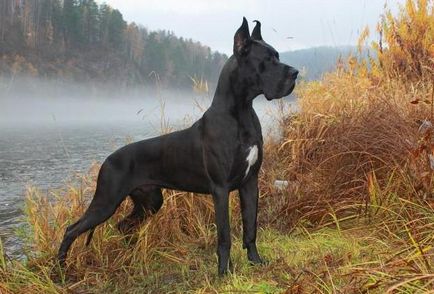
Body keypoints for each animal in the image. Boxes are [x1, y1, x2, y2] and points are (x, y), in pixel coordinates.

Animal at [58, 17, 298, 276]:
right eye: (267, 60)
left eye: (277, 55)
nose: (295, 73)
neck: (241, 111)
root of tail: (107, 159)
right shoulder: (221, 188)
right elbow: (224, 236)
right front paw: (224, 273)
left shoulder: (250, 182)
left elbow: (250, 227)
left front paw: (255, 261)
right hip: (107, 200)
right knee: (72, 229)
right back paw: (59, 269)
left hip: (149, 201)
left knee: (123, 225)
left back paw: (130, 259)